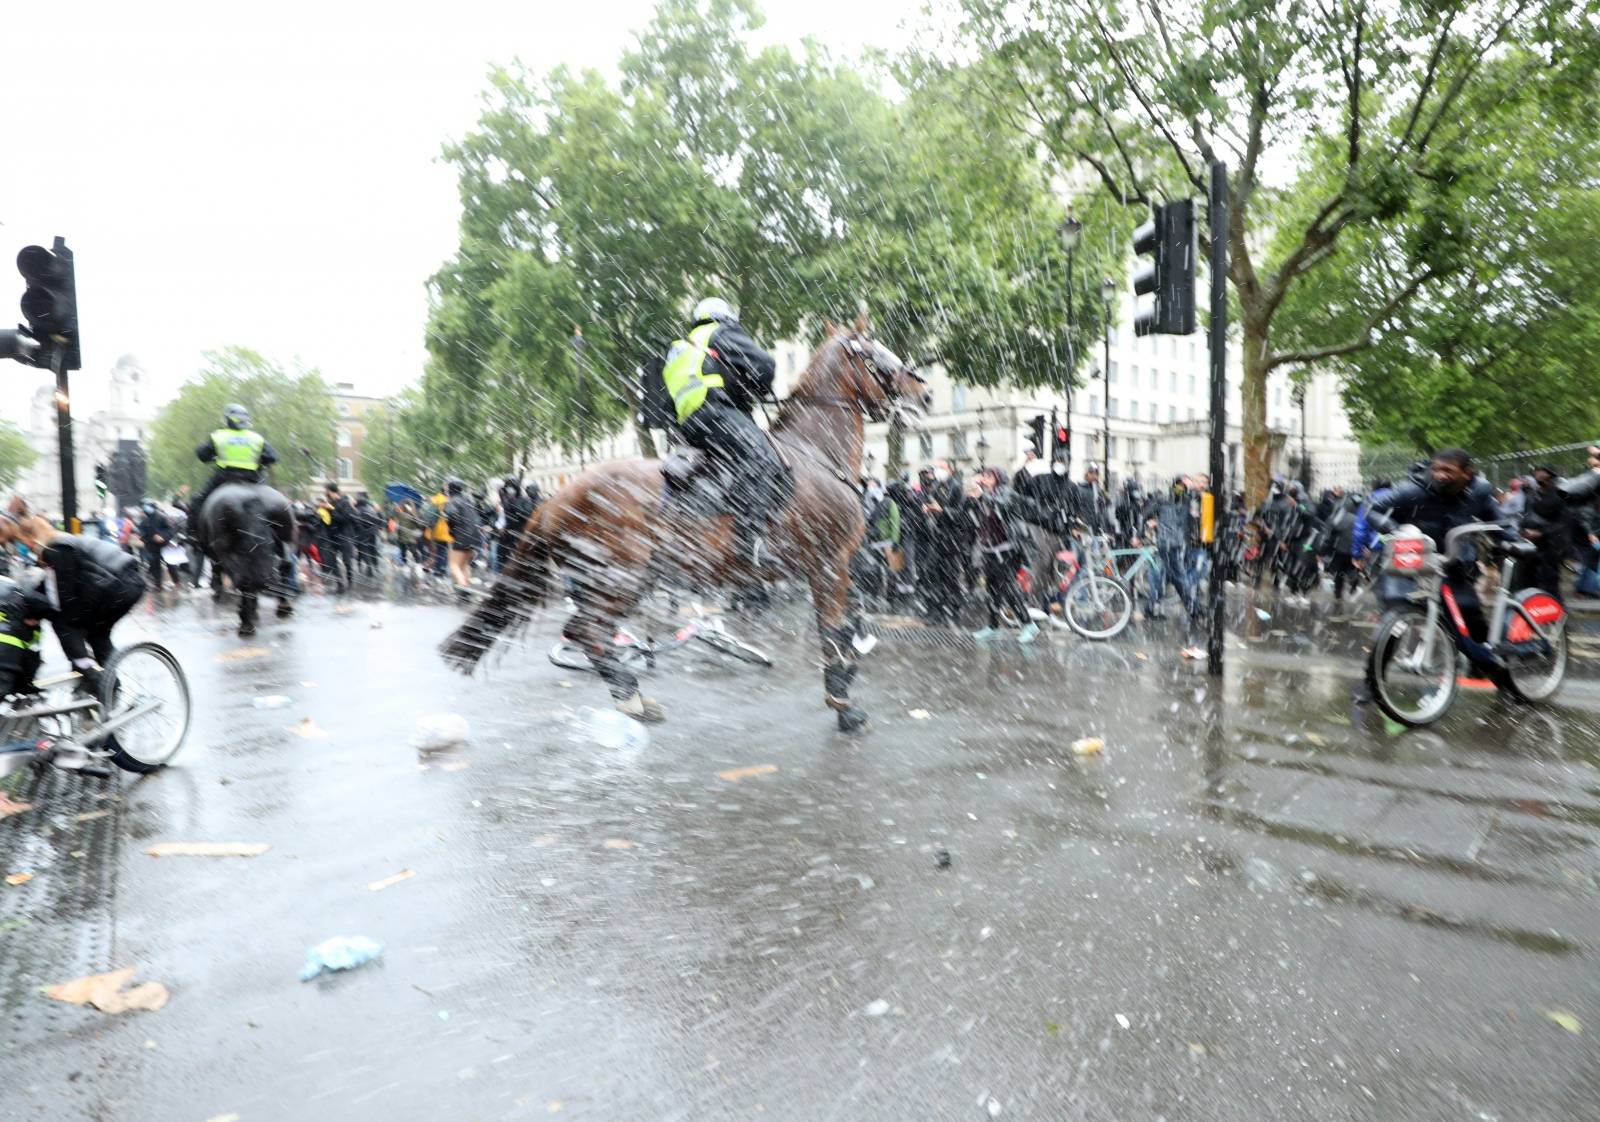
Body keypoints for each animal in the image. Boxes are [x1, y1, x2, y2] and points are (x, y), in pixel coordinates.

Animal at [201, 483, 299, 633]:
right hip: (287, 538)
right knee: (284, 566)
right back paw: (282, 607)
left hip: (227, 553)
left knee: (243, 579)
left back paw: (246, 622)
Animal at [444, 320, 934, 729]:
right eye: (878, 352)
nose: (925, 393)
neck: (817, 454)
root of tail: (555, 498)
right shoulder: (830, 563)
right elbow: (833, 629)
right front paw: (843, 703)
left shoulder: (837, 565)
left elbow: (850, 620)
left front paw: (848, 674)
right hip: (620, 576)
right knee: (586, 632)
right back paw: (631, 698)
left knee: (585, 632)